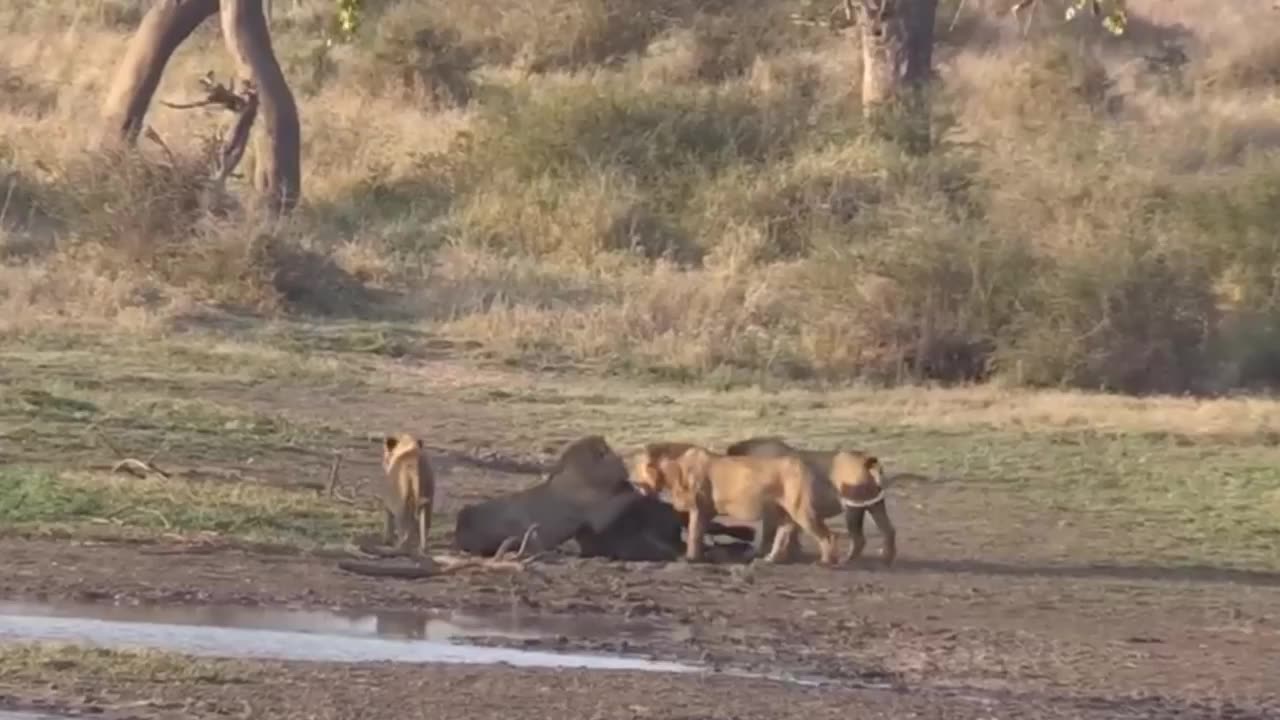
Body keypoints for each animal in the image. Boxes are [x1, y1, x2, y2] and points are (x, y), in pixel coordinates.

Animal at [629, 440, 839, 563]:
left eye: (636, 466)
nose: (631, 480)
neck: (672, 470)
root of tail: (803, 465)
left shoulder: (699, 507)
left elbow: (694, 534)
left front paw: (690, 558)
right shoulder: (706, 511)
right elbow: (699, 533)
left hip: (801, 510)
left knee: (828, 535)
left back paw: (826, 562)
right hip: (784, 511)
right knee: (784, 531)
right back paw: (770, 558)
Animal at [727, 430, 896, 566]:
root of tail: (867, 459)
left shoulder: (772, 509)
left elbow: (770, 534)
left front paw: (761, 554)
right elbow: (788, 533)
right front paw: (791, 554)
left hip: (853, 507)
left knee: (859, 539)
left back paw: (845, 561)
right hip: (874, 505)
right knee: (888, 530)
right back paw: (886, 560)